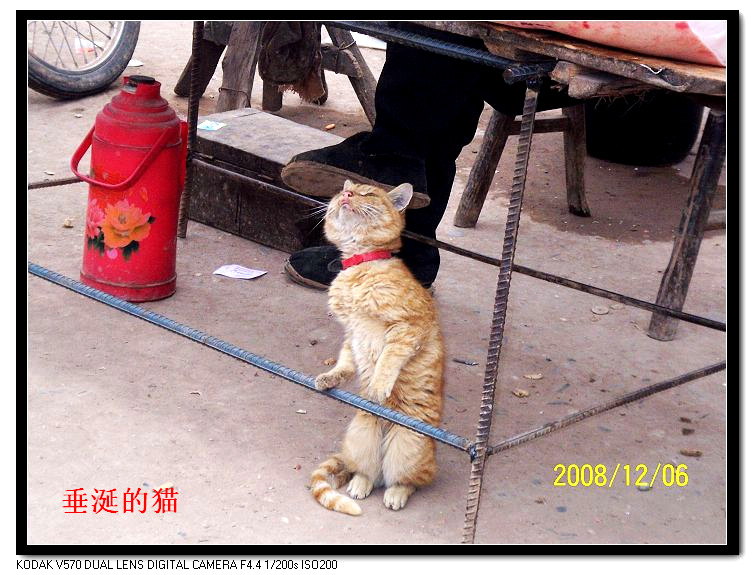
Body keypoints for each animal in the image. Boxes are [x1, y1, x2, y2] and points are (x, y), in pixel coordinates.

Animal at [309, 180, 445, 515]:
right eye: (343, 192)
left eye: (368, 193)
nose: (346, 195)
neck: (361, 264)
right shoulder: (352, 333)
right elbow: (346, 361)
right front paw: (332, 376)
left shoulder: (408, 328)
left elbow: (389, 358)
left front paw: (381, 385)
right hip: (361, 437)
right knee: (368, 472)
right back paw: (359, 484)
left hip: (408, 446)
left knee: (405, 480)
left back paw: (396, 493)